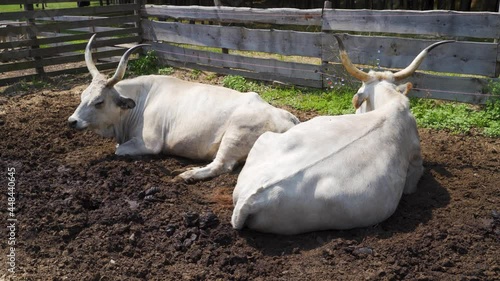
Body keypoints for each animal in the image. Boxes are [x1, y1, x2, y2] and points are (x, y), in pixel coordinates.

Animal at [68, 34, 298, 180]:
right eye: (82, 96)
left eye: (99, 101)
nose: (72, 121)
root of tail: (287, 117)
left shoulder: (149, 143)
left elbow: (118, 151)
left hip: (234, 136)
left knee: (220, 165)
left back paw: (189, 174)